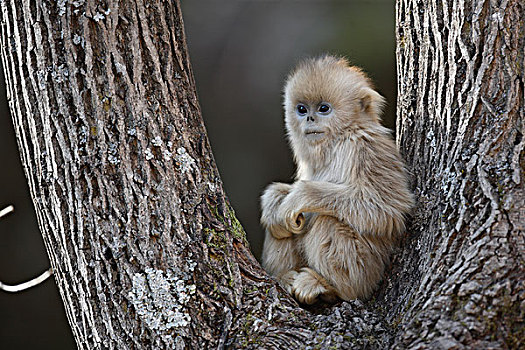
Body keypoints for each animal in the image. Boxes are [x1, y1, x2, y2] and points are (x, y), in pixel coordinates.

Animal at [258, 54, 414, 304]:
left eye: (324, 108)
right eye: (301, 109)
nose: (310, 118)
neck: (337, 140)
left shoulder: (366, 148)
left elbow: (387, 208)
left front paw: (299, 196)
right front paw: (274, 200)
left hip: (367, 271)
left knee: (327, 219)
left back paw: (328, 286)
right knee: (281, 228)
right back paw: (285, 276)